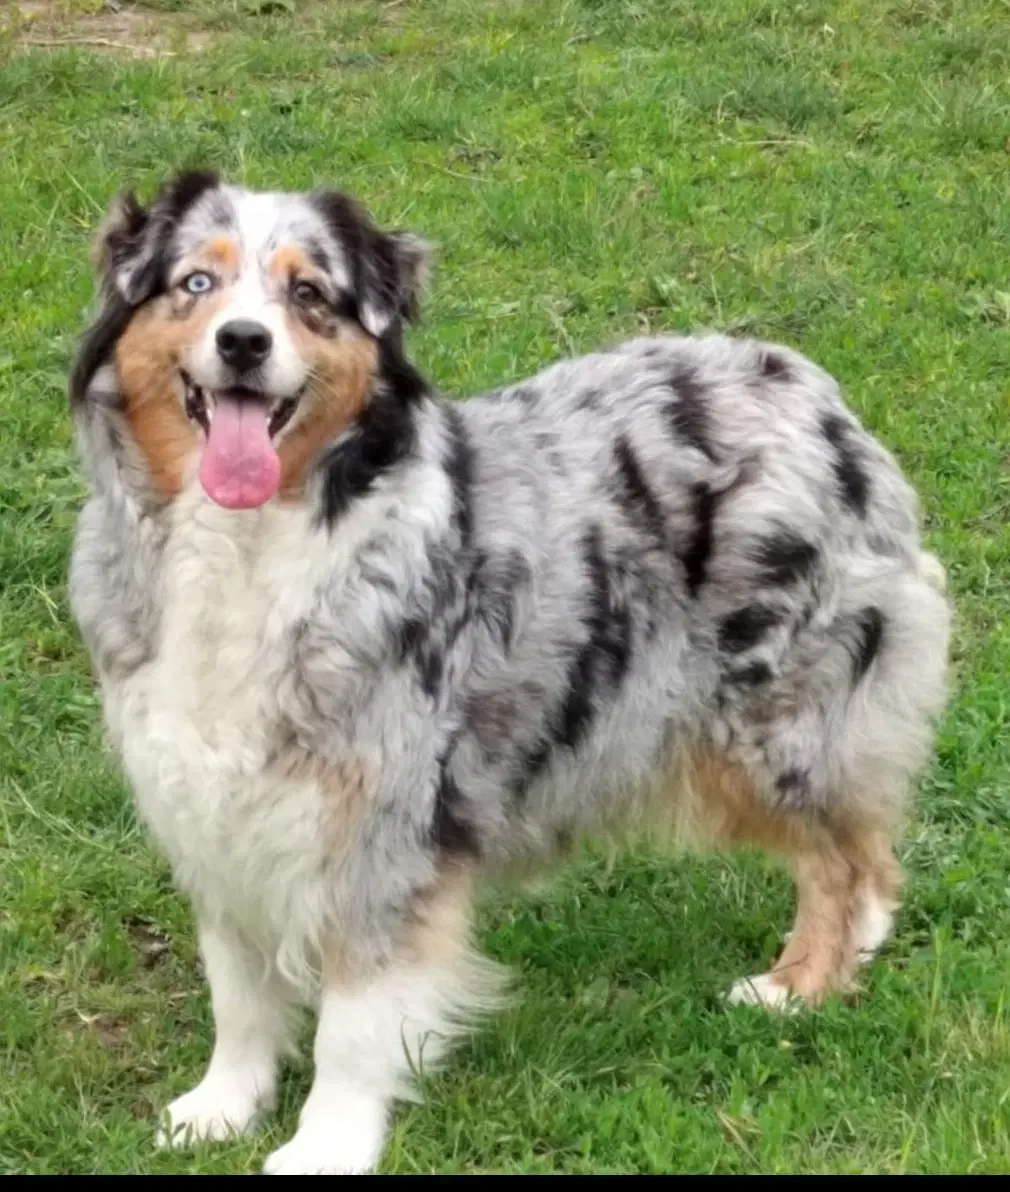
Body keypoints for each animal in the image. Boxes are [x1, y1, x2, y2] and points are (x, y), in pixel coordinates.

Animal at [67, 170, 953, 1172]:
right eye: (195, 284)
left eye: (309, 294)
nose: (244, 342)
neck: (250, 538)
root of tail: (811, 390)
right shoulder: (212, 803)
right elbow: (240, 988)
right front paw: (223, 1105)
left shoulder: (385, 824)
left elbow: (353, 1023)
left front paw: (328, 1142)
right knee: (865, 853)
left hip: (778, 717)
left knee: (845, 856)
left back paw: (799, 986)